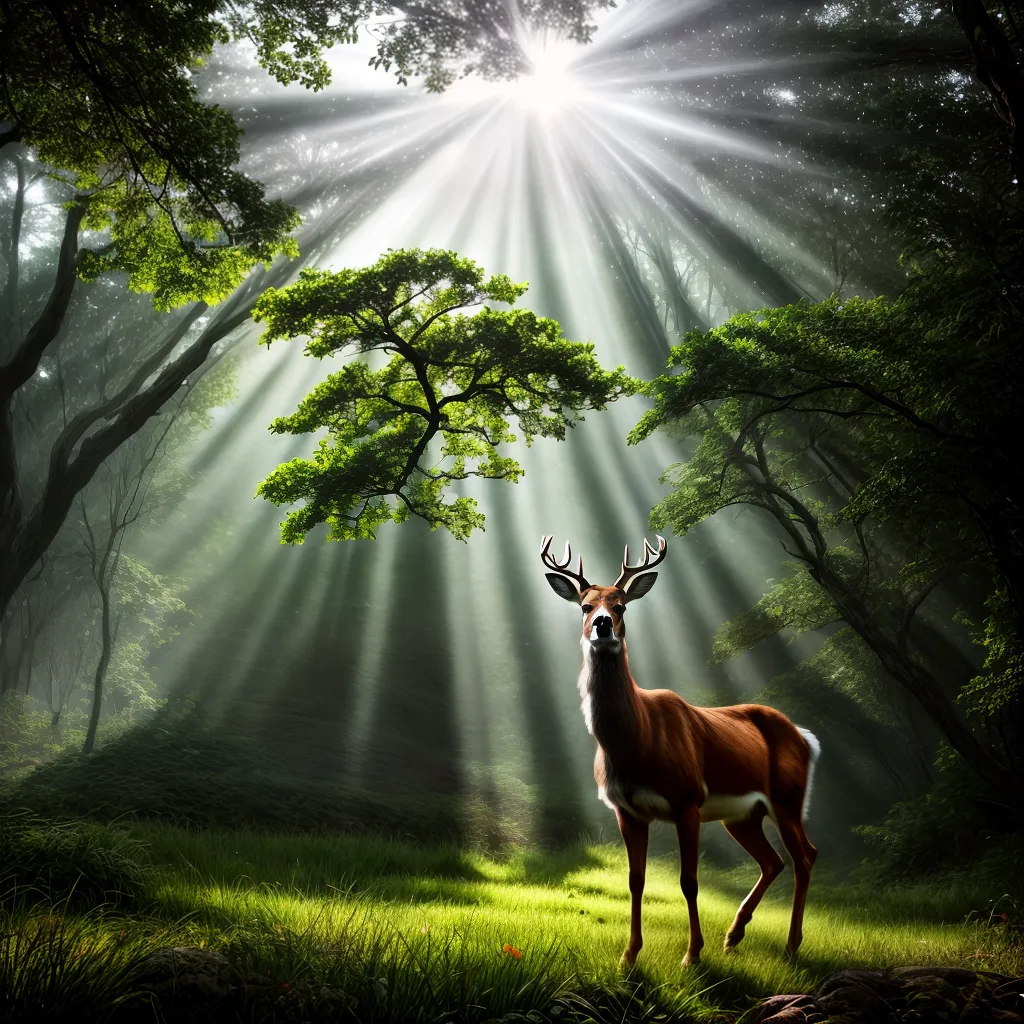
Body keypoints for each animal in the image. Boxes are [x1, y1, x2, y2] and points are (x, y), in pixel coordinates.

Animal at [541, 534, 819, 967]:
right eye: (585, 606)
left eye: (621, 605)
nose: (602, 625)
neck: (634, 744)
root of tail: (805, 737)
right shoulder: (626, 810)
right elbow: (635, 881)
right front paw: (629, 955)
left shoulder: (687, 799)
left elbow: (689, 880)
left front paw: (692, 955)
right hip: (742, 815)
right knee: (775, 860)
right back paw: (733, 936)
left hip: (787, 797)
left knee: (804, 857)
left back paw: (790, 946)